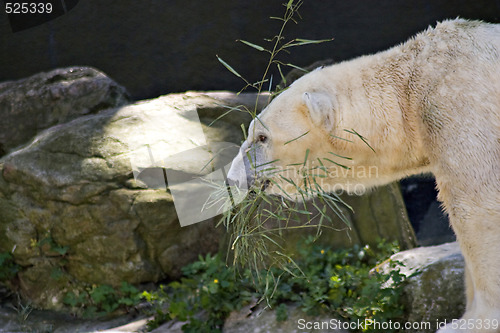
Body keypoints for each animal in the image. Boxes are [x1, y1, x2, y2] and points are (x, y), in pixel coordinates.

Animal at [229, 19, 500, 330]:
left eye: (262, 137)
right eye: (251, 131)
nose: (232, 177)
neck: (409, 90)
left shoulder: (460, 105)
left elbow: (476, 208)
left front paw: (471, 321)